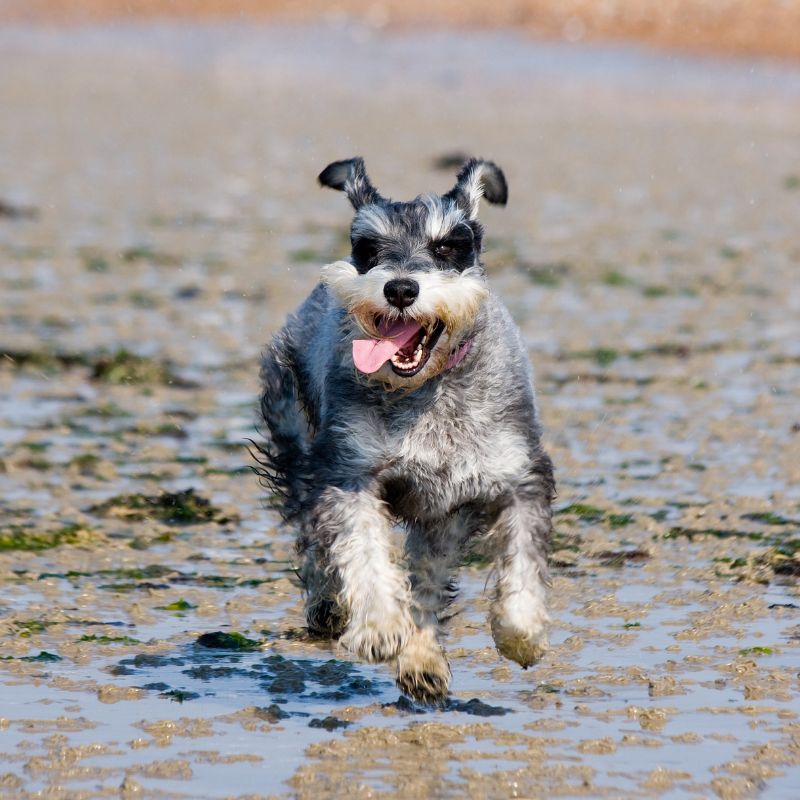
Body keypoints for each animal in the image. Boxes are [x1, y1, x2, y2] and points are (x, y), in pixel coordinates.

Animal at [256, 156, 556, 700]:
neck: (427, 391)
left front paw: (521, 635)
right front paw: (377, 629)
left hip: (441, 515)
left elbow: (521, 562)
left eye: (447, 245)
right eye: (368, 247)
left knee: (426, 580)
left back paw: (423, 661)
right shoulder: (348, 472)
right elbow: (363, 552)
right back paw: (330, 607)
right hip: (296, 441)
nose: (399, 288)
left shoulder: (518, 478)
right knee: (312, 536)